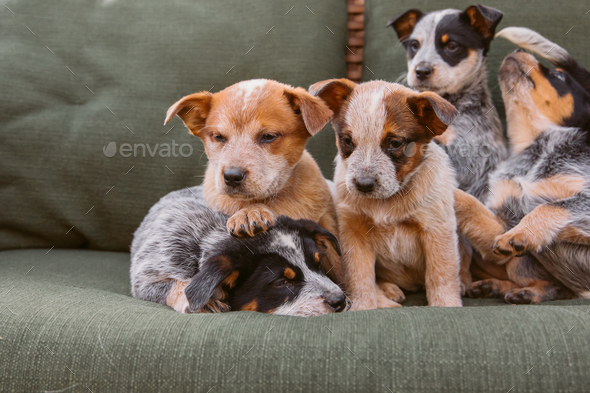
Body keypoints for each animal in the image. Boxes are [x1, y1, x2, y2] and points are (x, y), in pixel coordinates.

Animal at [132, 186, 350, 316]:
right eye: (281, 282)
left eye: (319, 265)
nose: (339, 301)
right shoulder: (146, 278)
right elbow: (171, 285)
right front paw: (204, 301)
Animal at [312, 78, 464, 308]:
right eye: (347, 140)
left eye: (395, 143)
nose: (363, 184)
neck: (387, 202)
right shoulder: (353, 232)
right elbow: (359, 277)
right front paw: (362, 307)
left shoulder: (436, 228)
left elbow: (441, 275)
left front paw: (446, 306)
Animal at [458, 28, 590, 304]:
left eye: (559, 75)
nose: (518, 50)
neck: (535, 148)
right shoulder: (502, 226)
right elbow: (473, 207)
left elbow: (552, 205)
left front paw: (523, 232)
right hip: (517, 263)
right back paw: (499, 287)